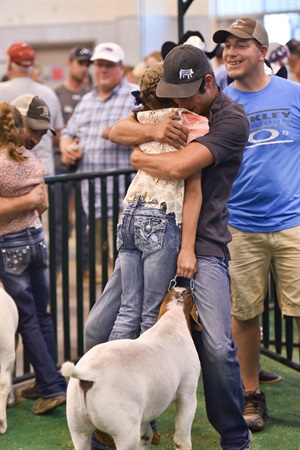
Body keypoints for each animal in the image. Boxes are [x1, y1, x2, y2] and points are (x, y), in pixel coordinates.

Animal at [61, 286, 202, 448]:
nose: (182, 287)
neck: (172, 320)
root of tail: (89, 374)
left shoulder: (144, 411)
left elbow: (146, 435)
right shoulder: (187, 394)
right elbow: (181, 439)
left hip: (77, 425)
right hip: (124, 431)